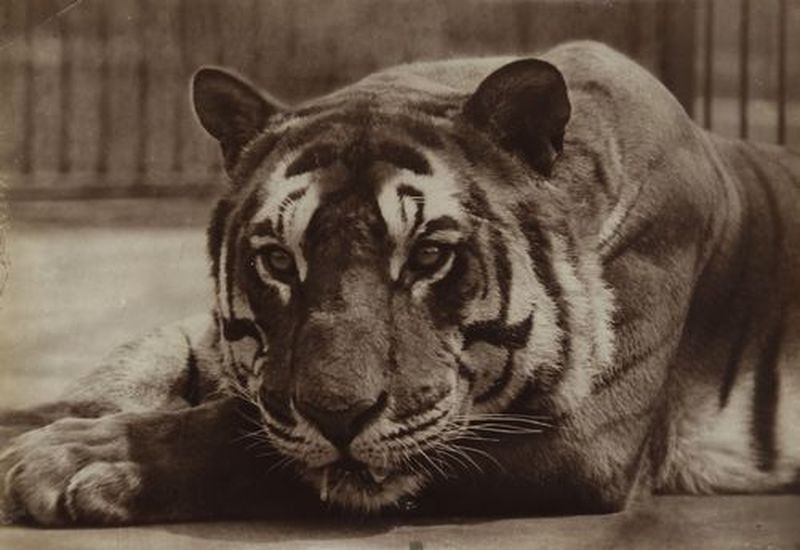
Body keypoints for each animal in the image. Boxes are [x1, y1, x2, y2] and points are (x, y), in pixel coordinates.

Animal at [1, 40, 799, 526]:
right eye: (279, 261)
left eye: (427, 257)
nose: (339, 416)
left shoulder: (582, 436)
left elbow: (246, 435)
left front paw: (78, 456)